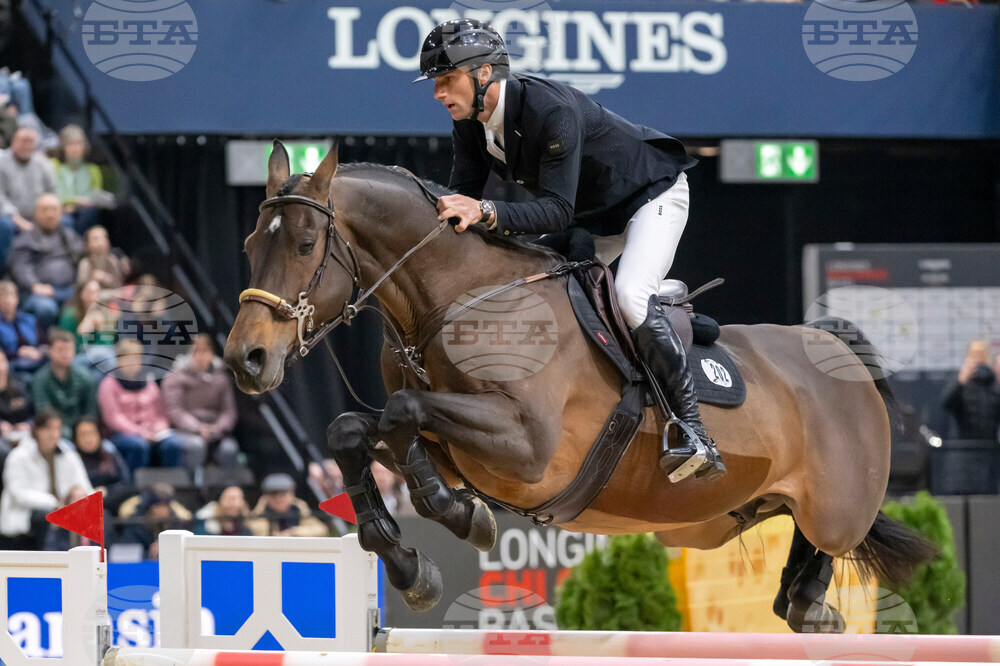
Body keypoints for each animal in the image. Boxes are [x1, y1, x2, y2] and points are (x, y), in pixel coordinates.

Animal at [223, 142, 935, 632]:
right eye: (250, 242)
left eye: (307, 245)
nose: (245, 360)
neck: (456, 300)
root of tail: (838, 352)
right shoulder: (452, 436)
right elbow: (356, 429)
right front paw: (409, 562)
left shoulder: (527, 446)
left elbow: (404, 412)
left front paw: (456, 513)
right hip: (710, 525)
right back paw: (802, 603)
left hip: (835, 504)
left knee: (832, 537)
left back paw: (809, 602)